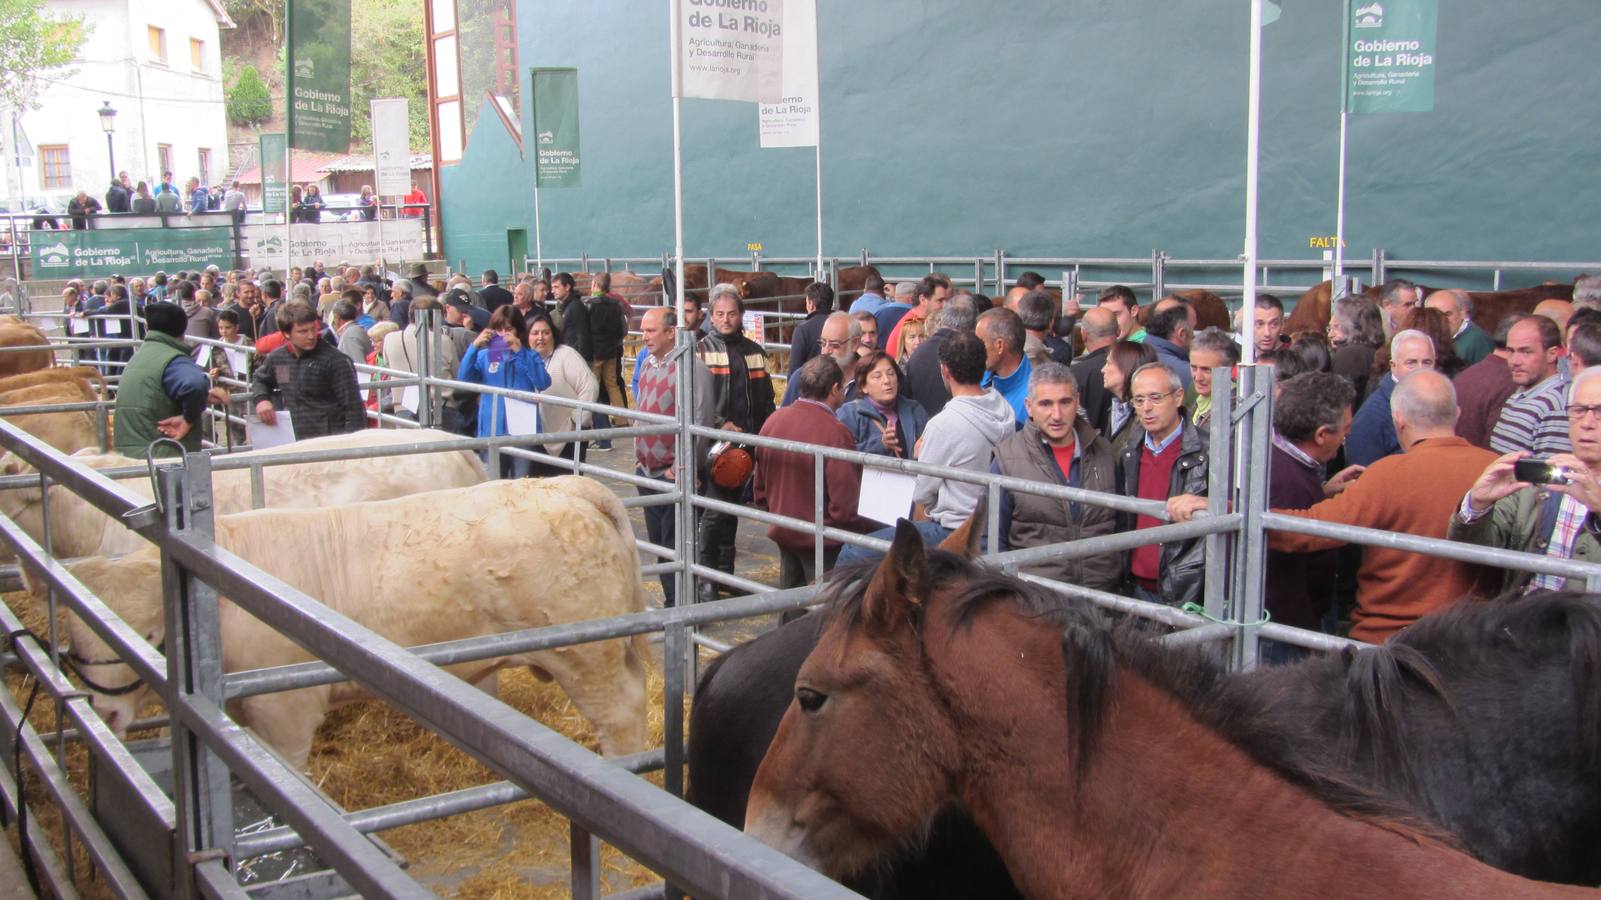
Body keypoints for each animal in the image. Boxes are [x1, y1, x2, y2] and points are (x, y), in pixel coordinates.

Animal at [62, 477, 650, 762]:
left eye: (149, 635)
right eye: (73, 645)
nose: (103, 713)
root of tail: (573, 488)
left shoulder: (285, 706)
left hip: (586, 654)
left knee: (622, 715)